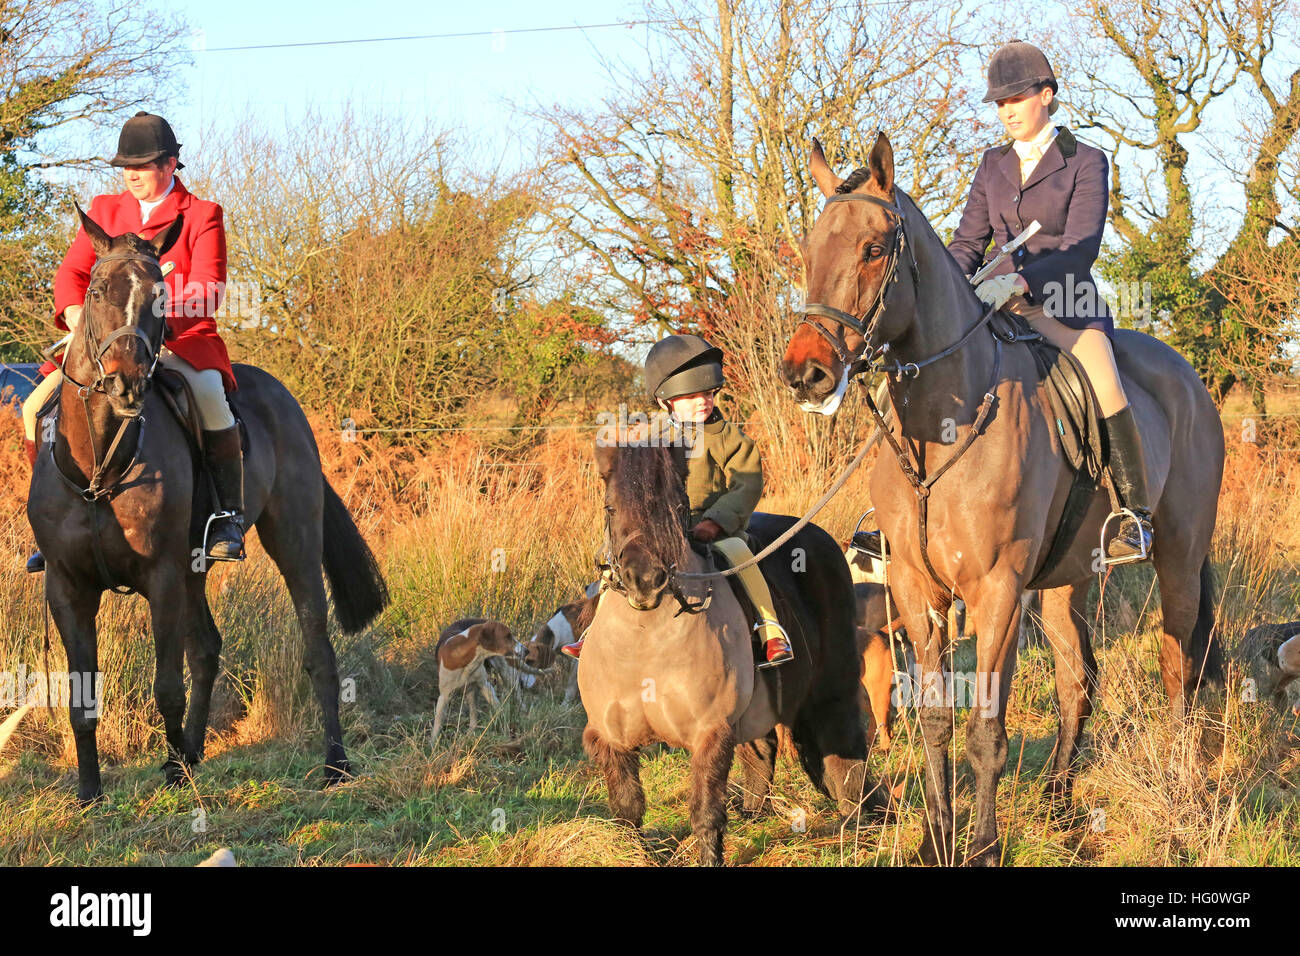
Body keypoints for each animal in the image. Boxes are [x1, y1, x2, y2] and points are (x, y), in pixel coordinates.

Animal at [27, 208, 387, 801]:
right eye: (97, 290)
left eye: (160, 296)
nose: (125, 384)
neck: (101, 462)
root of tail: (283, 397)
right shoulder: (67, 586)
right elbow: (82, 699)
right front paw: (90, 794)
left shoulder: (161, 577)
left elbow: (166, 686)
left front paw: (174, 776)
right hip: (194, 569)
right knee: (206, 649)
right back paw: (190, 754)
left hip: (292, 542)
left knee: (317, 650)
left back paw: (333, 764)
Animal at [582, 442, 878, 868]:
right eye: (611, 507)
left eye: (676, 508)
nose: (645, 581)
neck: (645, 644)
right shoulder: (612, 740)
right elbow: (627, 809)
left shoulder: (711, 732)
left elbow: (705, 812)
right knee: (761, 749)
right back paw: (755, 813)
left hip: (832, 683)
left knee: (842, 745)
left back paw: (855, 819)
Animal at [774, 136, 1222, 868]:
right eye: (811, 250)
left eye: (873, 248)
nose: (804, 373)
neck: (939, 428)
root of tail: (1186, 375)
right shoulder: (918, 590)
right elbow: (934, 720)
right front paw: (937, 838)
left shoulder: (997, 590)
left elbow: (987, 724)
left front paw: (981, 846)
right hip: (1064, 580)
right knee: (1077, 680)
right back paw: (1059, 797)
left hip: (1178, 557)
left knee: (1177, 666)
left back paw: (1182, 788)